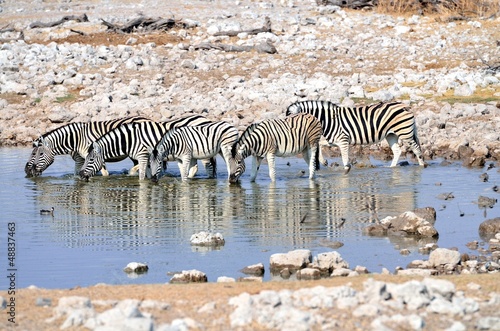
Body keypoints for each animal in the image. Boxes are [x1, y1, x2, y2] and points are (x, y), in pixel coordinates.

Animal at [78, 115, 213, 182]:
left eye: (90, 160)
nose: (80, 175)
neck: (130, 139)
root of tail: (205, 118)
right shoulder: (147, 158)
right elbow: (147, 173)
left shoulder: (142, 156)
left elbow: (141, 176)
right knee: (194, 168)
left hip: (204, 152)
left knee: (208, 168)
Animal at [286, 100, 426, 174]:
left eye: (291, 119)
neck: (329, 120)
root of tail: (404, 106)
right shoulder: (334, 140)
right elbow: (320, 144)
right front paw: (323, 161)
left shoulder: (343, 140)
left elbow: (344, 158)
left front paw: (346, 170)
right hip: (391, 134)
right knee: (397, 151)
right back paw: (391, 167)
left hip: (405, 132)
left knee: (416, 149)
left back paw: (422, 166)